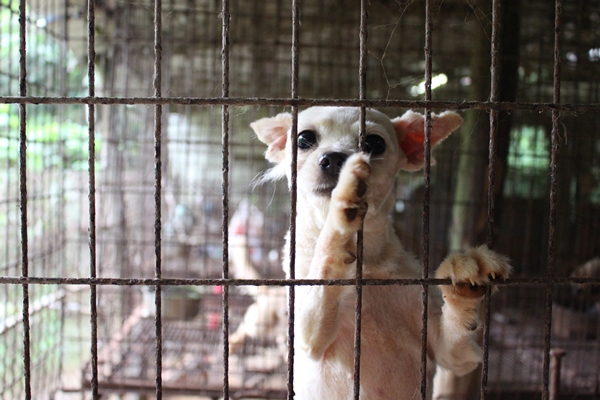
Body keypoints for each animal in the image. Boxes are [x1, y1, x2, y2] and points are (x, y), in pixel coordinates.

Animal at [250, 107, 510, 400]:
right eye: (304, 139)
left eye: (374, 143)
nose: (335, 158)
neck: (367, 266)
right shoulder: (308, 337)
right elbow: (325, 257)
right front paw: (343, 202)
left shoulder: (452, 355)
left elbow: (456, 333)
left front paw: (462, 283)